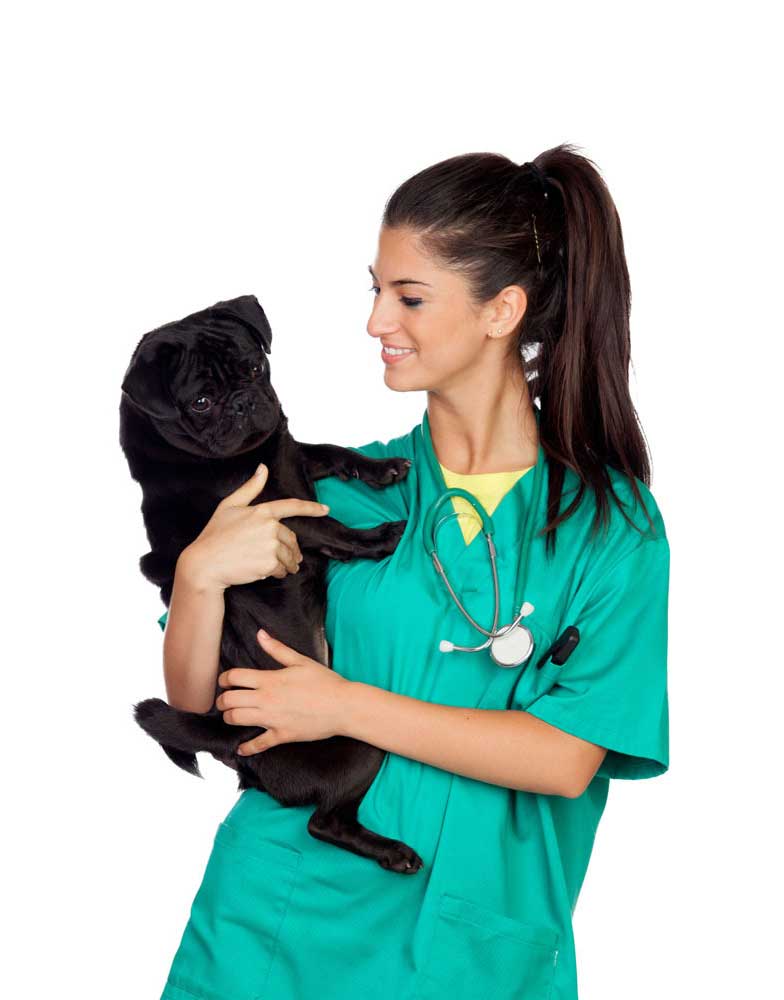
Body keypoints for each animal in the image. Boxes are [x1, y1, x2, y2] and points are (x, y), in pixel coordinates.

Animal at [120, 294, 423, 874]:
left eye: (256, 369)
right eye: (201, 402)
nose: (243, 403)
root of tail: (235, 741)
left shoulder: (290, 453)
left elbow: (327, 450)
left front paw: (381, 467)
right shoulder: (268, 516)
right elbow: (328, 526)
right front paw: (382, 538)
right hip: (363, 743)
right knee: (322, 823)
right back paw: (392, 852)